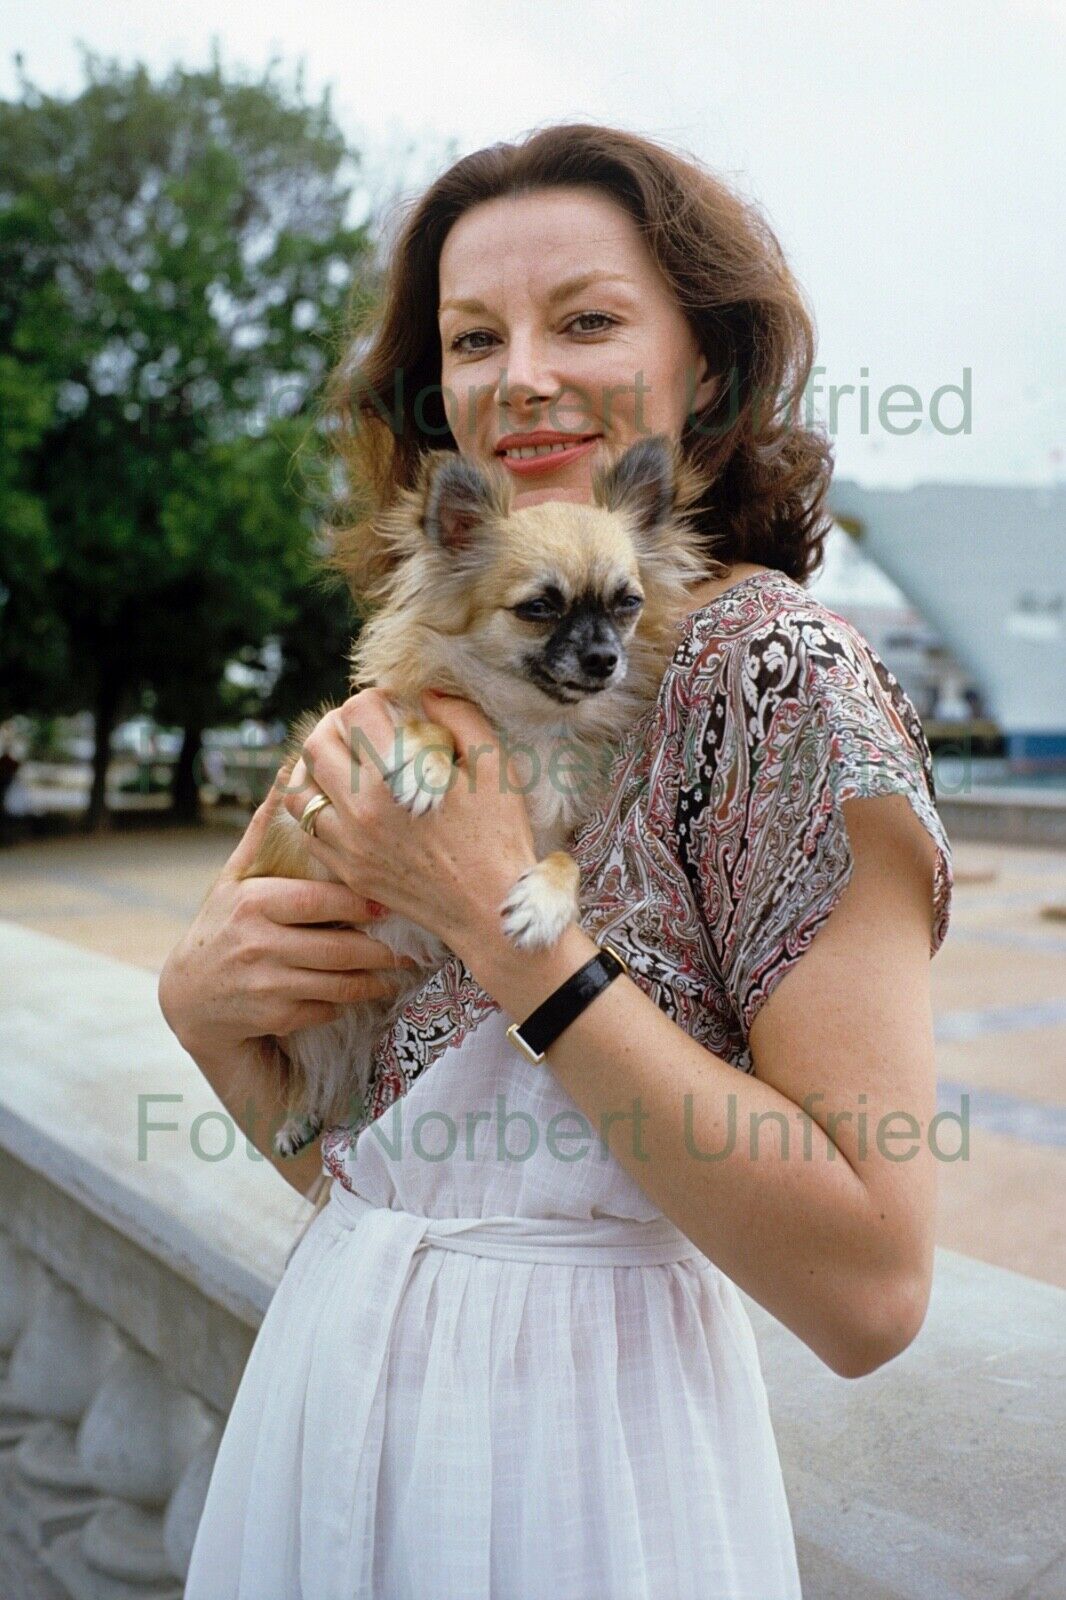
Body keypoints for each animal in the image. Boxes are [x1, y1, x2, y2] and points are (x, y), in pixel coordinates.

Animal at [240, 438, 717, 1158]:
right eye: (538, 608)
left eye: (627, 603)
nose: (605, 657)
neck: (532, 727)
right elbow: (428, 725)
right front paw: (425, 766)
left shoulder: (557, 832)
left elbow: (567, 861)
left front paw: (543, 904)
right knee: (307, 1067)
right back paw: (297, 1116)